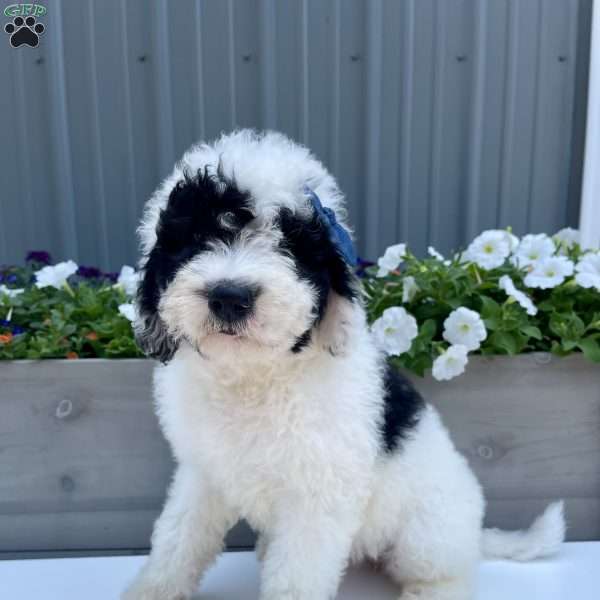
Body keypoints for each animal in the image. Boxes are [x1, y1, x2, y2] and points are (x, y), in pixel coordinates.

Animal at [124, 130, 564, 600]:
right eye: (194, 238)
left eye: (290, 244)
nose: (229, 296)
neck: (255, 376)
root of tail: (476, 532)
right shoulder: (202, 474)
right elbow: (178, 539)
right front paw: (151, 590)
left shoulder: (315, 498)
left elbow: (296, 577)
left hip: (426, 530)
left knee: (445, 571)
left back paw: (431, 590)